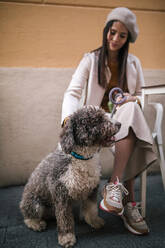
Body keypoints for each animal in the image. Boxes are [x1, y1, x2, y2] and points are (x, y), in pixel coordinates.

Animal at [20, 105, 120, 247]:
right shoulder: (61, 195)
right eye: (97, 120)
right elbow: (65, 219)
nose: (119, 124)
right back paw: (36, 223)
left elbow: (91, 208)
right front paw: (67, 237)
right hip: (34, 203)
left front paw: (94, 221)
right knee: (28, 216)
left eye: (104, 115)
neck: (81, 158)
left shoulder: (92, 189)